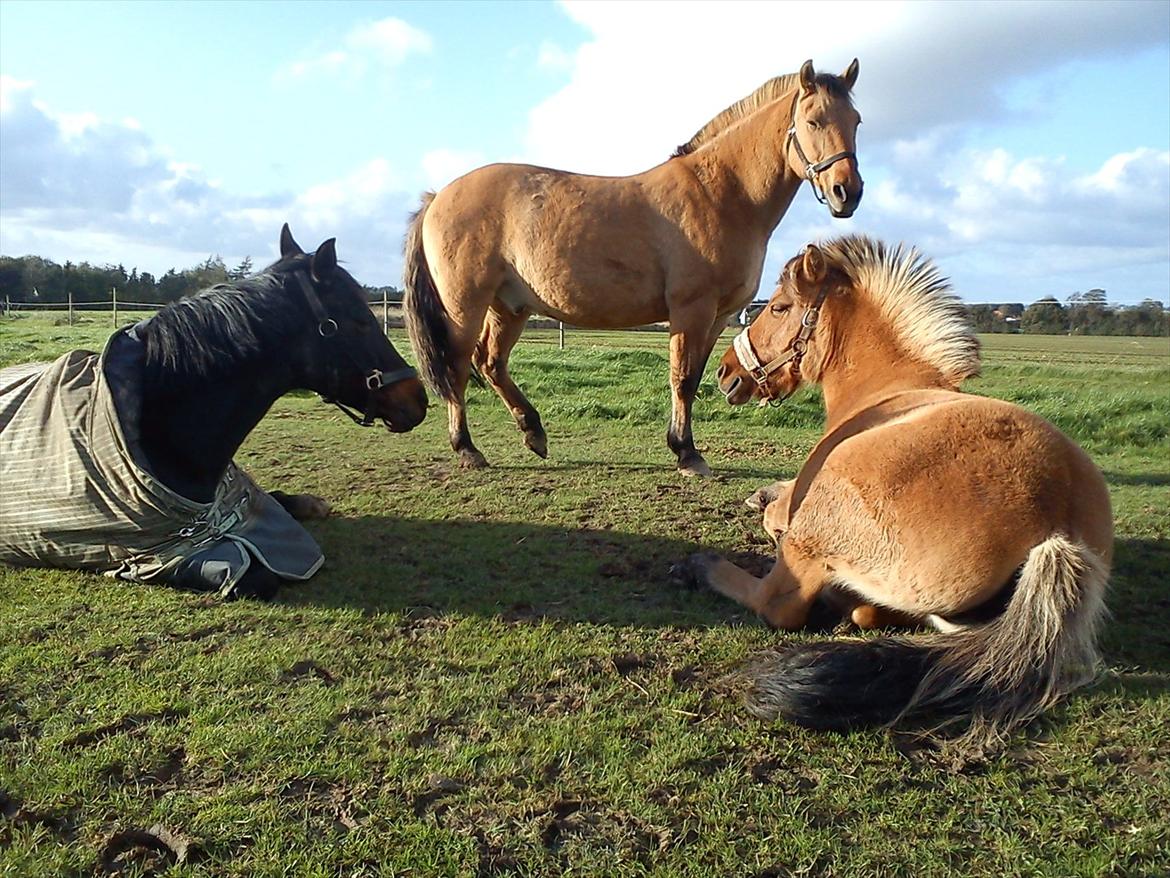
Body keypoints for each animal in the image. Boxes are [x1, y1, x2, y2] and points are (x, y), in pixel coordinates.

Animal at [0, 224, 430, 599]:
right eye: (359, 322)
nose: (419, 399)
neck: (163, 430)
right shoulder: (164, 557)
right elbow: (257, 577)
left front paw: (310, 504)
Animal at [407, 57, 865, 475]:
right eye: (814, 121)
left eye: (856, 121)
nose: (848, 192)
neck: (720, 194)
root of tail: (438, 196)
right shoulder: (690, 309)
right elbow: (682, 377)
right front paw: (687, 453)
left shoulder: (718, 315)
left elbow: (694, 377)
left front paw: (684, 447)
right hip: (466, 306)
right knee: (458, 366)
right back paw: (467, 449)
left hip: (510, 306)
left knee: (490, 362)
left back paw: (533, 432)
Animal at [687, 237, 1109, 744]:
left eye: (779, 306)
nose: (726, 373)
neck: (884, 387)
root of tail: (1055, 529)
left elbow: (776, 517)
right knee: (873, 616)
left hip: (820, 522)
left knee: (780, 603)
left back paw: (708, 567)